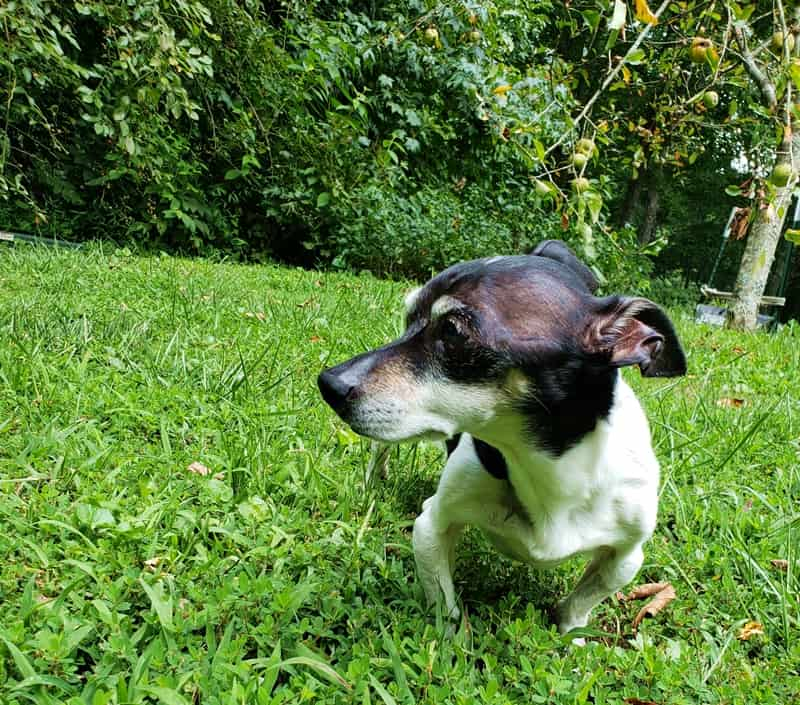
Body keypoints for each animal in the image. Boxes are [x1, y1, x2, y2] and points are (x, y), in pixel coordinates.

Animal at [316, 242, 684, 632]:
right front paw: (451, 640)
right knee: (379, 448)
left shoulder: (625, 558)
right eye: (407, 318)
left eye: (452, 332)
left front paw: (572, 637)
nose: (328, 384)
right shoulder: (430, 527)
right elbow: (444, 604)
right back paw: (374, 480)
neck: (552, 468)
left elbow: (578, 605)